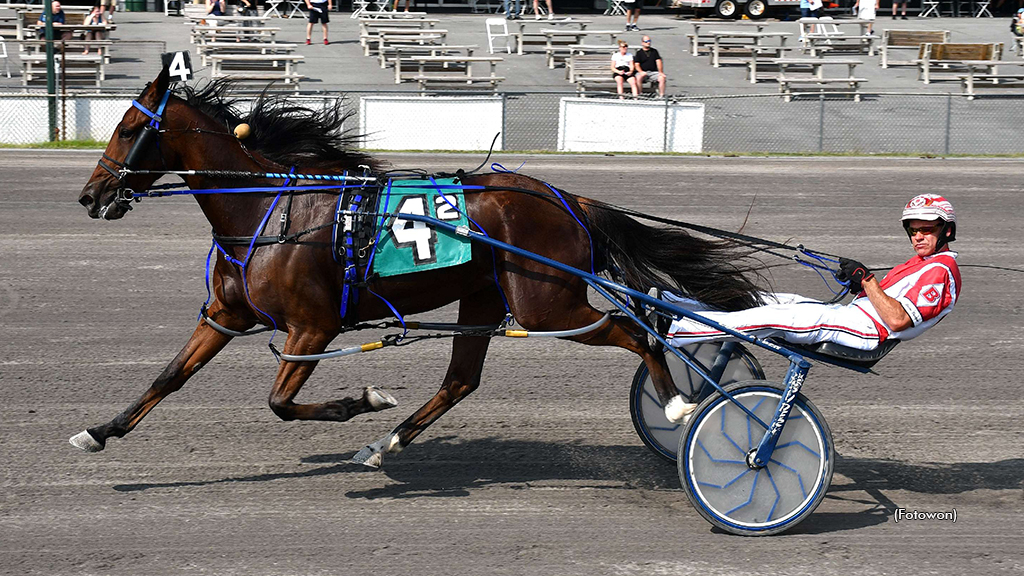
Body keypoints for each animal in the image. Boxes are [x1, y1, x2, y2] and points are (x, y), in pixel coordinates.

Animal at [72, 68, 765, 467]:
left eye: (128, 127)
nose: (90, 195)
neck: (267, 212)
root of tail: (565, 199)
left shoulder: (313, 326)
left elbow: (279, 402)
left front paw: (363, 400)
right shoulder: (225, 313)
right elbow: (168, 377)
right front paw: (100, 431)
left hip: (547, 304)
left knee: (637, 331)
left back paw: (679, 407)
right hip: (487, 297)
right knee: (461, 380)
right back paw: (388, 443)